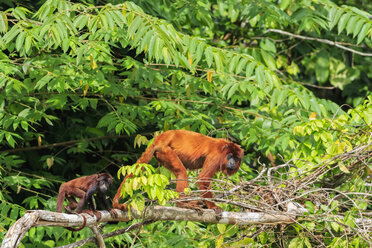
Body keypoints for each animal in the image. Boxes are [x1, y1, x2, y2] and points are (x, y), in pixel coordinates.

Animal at [113, 129, 244, 212]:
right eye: (230, 157)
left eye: (236, 158)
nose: (232, 163)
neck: (223, 151)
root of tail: (160, 138)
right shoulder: (216, 156)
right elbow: (203, 178)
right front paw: (212, 206)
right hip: (166, 151)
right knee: (181, 171)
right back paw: (182, 204)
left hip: (162, 155)